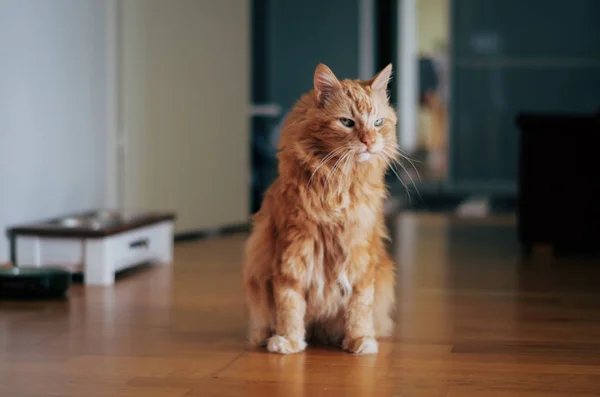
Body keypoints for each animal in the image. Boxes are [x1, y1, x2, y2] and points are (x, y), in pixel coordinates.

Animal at [241, 63, 400, 354]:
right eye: (347, 122)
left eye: (378, 123)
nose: (369, 141)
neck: (338, 184)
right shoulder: (293, 250)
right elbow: (289, 303)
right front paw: (288, 340)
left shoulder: (360, 254)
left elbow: (360, 305)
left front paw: (360, 340)